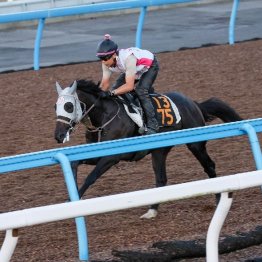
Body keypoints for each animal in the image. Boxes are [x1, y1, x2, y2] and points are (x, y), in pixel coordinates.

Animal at [54, 80, 243, 219]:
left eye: (69, 106)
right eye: (55, 106)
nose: (59, 135)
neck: (104, 116)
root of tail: (194, 103)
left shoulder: (111, 157)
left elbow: (91, 178)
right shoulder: (96, 154)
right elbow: (74, 164)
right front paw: (70, 197)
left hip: (195, 144)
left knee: (209, 165)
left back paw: (219, 197)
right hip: (159, 150)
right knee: (161, 179)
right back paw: (151, 211)